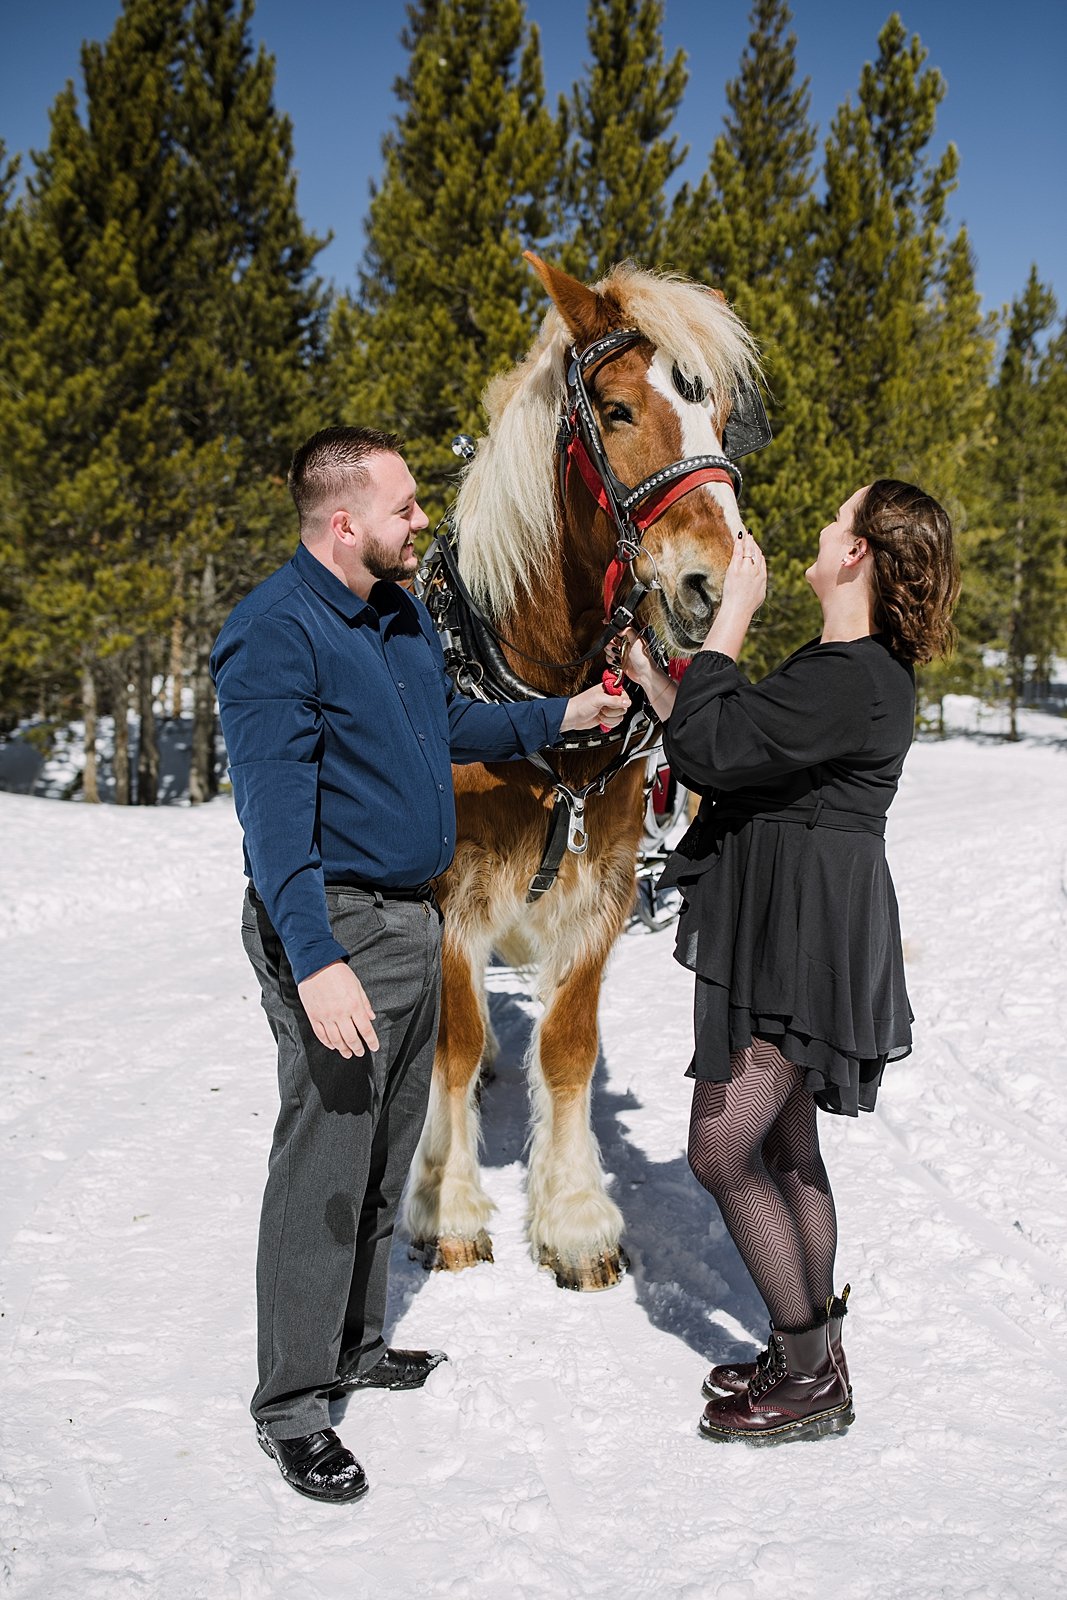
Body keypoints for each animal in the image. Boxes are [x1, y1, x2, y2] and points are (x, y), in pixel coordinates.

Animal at [406, 256, 767, 1292]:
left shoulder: (599, 889)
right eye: (613, 409)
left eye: (718, 413)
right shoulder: (450, 897)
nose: (714, 584)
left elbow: (567, 1049)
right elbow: (451, 1046)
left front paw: (573, 1221)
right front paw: (446, 1206)